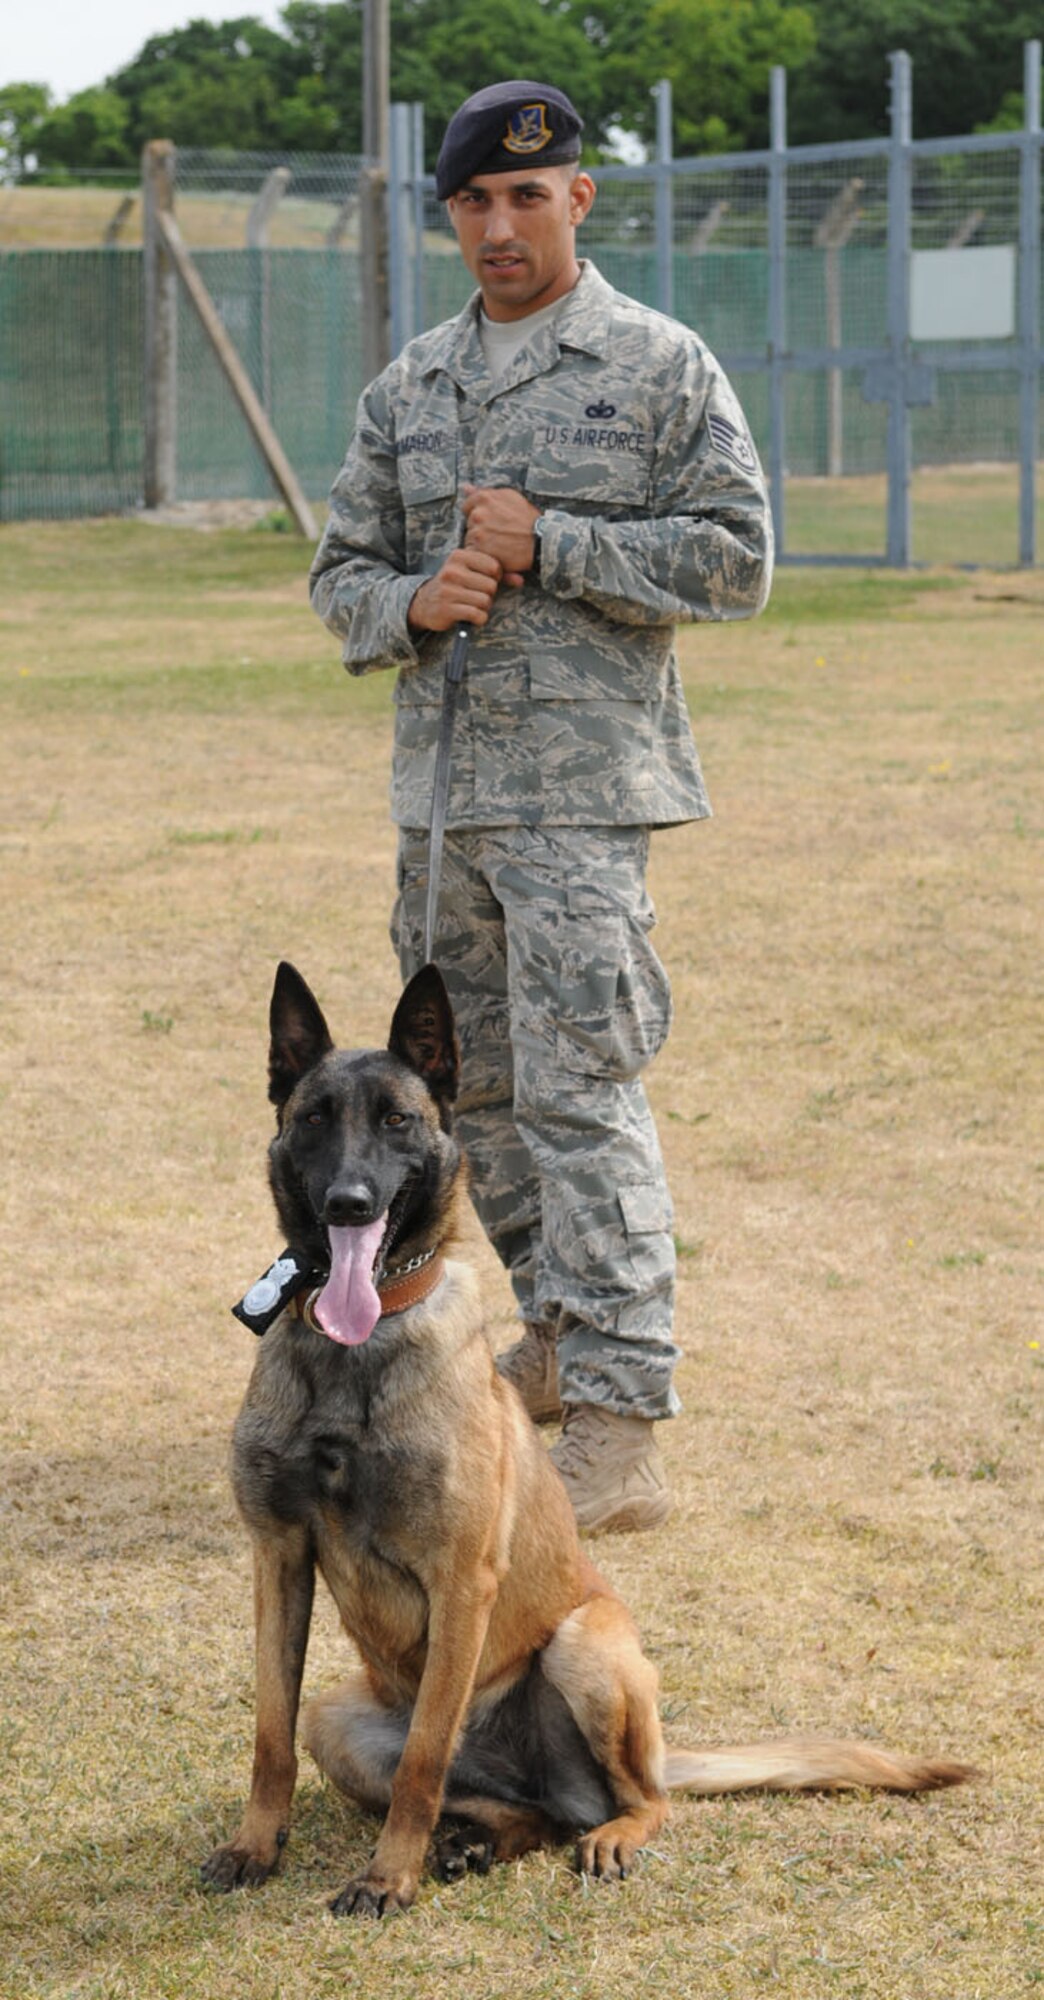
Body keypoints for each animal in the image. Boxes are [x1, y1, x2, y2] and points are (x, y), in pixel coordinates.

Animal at [201, 968, 968, 1920]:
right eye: (312, 1118)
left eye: (396, 1121)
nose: (349, 1202)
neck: (355, 1352)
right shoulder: (278, 1558)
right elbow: (269, 1735)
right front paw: (256, 1846)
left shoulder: (461, 1579)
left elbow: (422, 1762)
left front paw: (386, 1877)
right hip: (341, 1720)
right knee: (517, 1807)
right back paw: (477, 1842)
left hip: (587, 1645)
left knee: (633, 1799)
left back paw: (604, 1836)